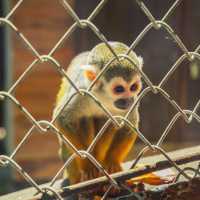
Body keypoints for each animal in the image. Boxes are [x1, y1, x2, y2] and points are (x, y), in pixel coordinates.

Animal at [53, 41, 144, 185]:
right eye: (119, 89)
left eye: (133, 87)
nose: (128, 100)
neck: (103, 98)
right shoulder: (81, 91)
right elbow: (63, 118)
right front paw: (87, 164)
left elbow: (129, 125)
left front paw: (112, 162)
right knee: (84, 119)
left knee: (108, 121)